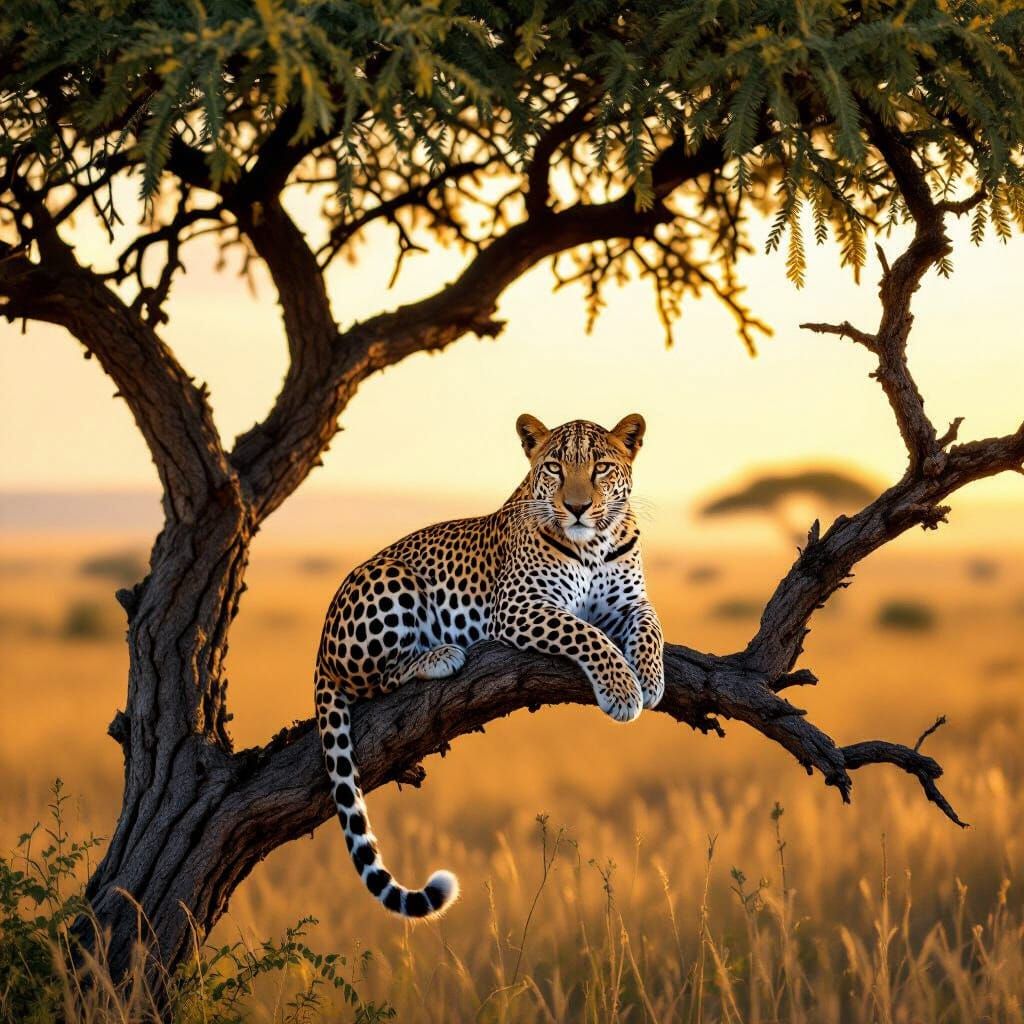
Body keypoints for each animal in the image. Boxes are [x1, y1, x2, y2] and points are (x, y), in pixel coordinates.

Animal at [314, 413, 664, 919]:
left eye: (601, 467)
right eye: (555, 467)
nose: (577, 507)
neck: (595, 543)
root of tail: (321, 646)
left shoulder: (631, 602)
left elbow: (652, 628)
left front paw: (651, 677)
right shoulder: (520, 606)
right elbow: (587, 634)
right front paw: (622, 690)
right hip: (394, 580)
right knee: (370, 678)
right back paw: (439, 655)